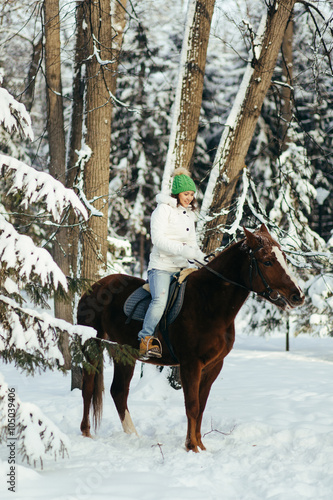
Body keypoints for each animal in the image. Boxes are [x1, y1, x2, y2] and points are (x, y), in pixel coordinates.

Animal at [77, 225, 304, 452]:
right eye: (267, 261)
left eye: (284, 257)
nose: (298, 296)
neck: (208, 302)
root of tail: (94, 287)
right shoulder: (190, 364)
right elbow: (192, 406)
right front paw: (192, 447)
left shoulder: (213, 366)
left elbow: (201, 406)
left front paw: (199, 446)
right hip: (93, 346)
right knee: (88, 387)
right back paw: (86, 433)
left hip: (124, 354)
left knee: (119, 391)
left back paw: (133, 436)